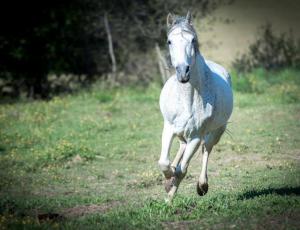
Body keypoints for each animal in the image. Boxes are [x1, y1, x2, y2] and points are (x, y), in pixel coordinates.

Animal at [158, 11, 233, 202]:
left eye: (192, 40)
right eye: (169, 41)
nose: (183, 72)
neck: (187, 98)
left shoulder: (196, 137)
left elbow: (182, 170)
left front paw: (169, 196)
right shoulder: (168, 128)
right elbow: (163, 162)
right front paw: (168, 181)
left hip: (217, 131)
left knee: (207, 150)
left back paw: (202, 186)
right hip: (180, 132)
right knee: (181, 147)